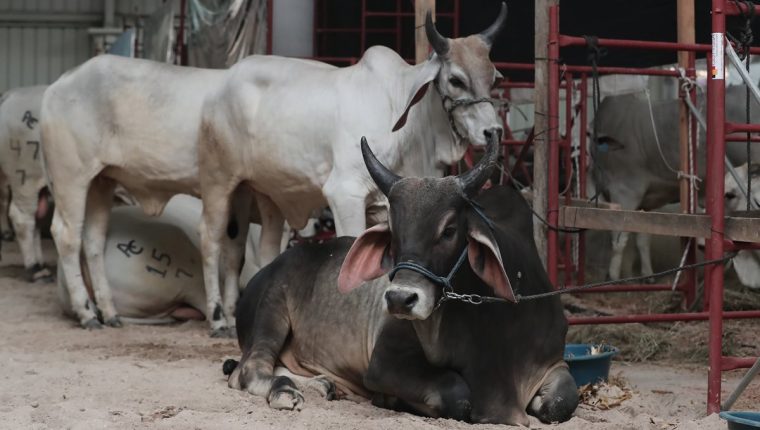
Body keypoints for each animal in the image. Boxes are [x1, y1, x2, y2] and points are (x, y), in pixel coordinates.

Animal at [38, 5, 508, 338]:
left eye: (495, 77)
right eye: (455, 79)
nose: (493, 131)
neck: (405, 118)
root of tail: (57, 85)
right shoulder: (344, 193)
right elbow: (351, 249)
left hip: (105, 182)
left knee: (94, 239)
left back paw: (109, 312)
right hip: (84, 177)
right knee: (71, 233)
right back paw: (109, 314)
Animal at [226, 136, 576, 424]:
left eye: (449, 230)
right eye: (393, 233)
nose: (399, 299)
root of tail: (266, 269)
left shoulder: (554, 363)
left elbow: (563, 402)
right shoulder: (384, 362)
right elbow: (457, 394)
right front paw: (391, 400)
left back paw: (321, 384)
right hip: (271, 309)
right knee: (247, 371)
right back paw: (285, 391)